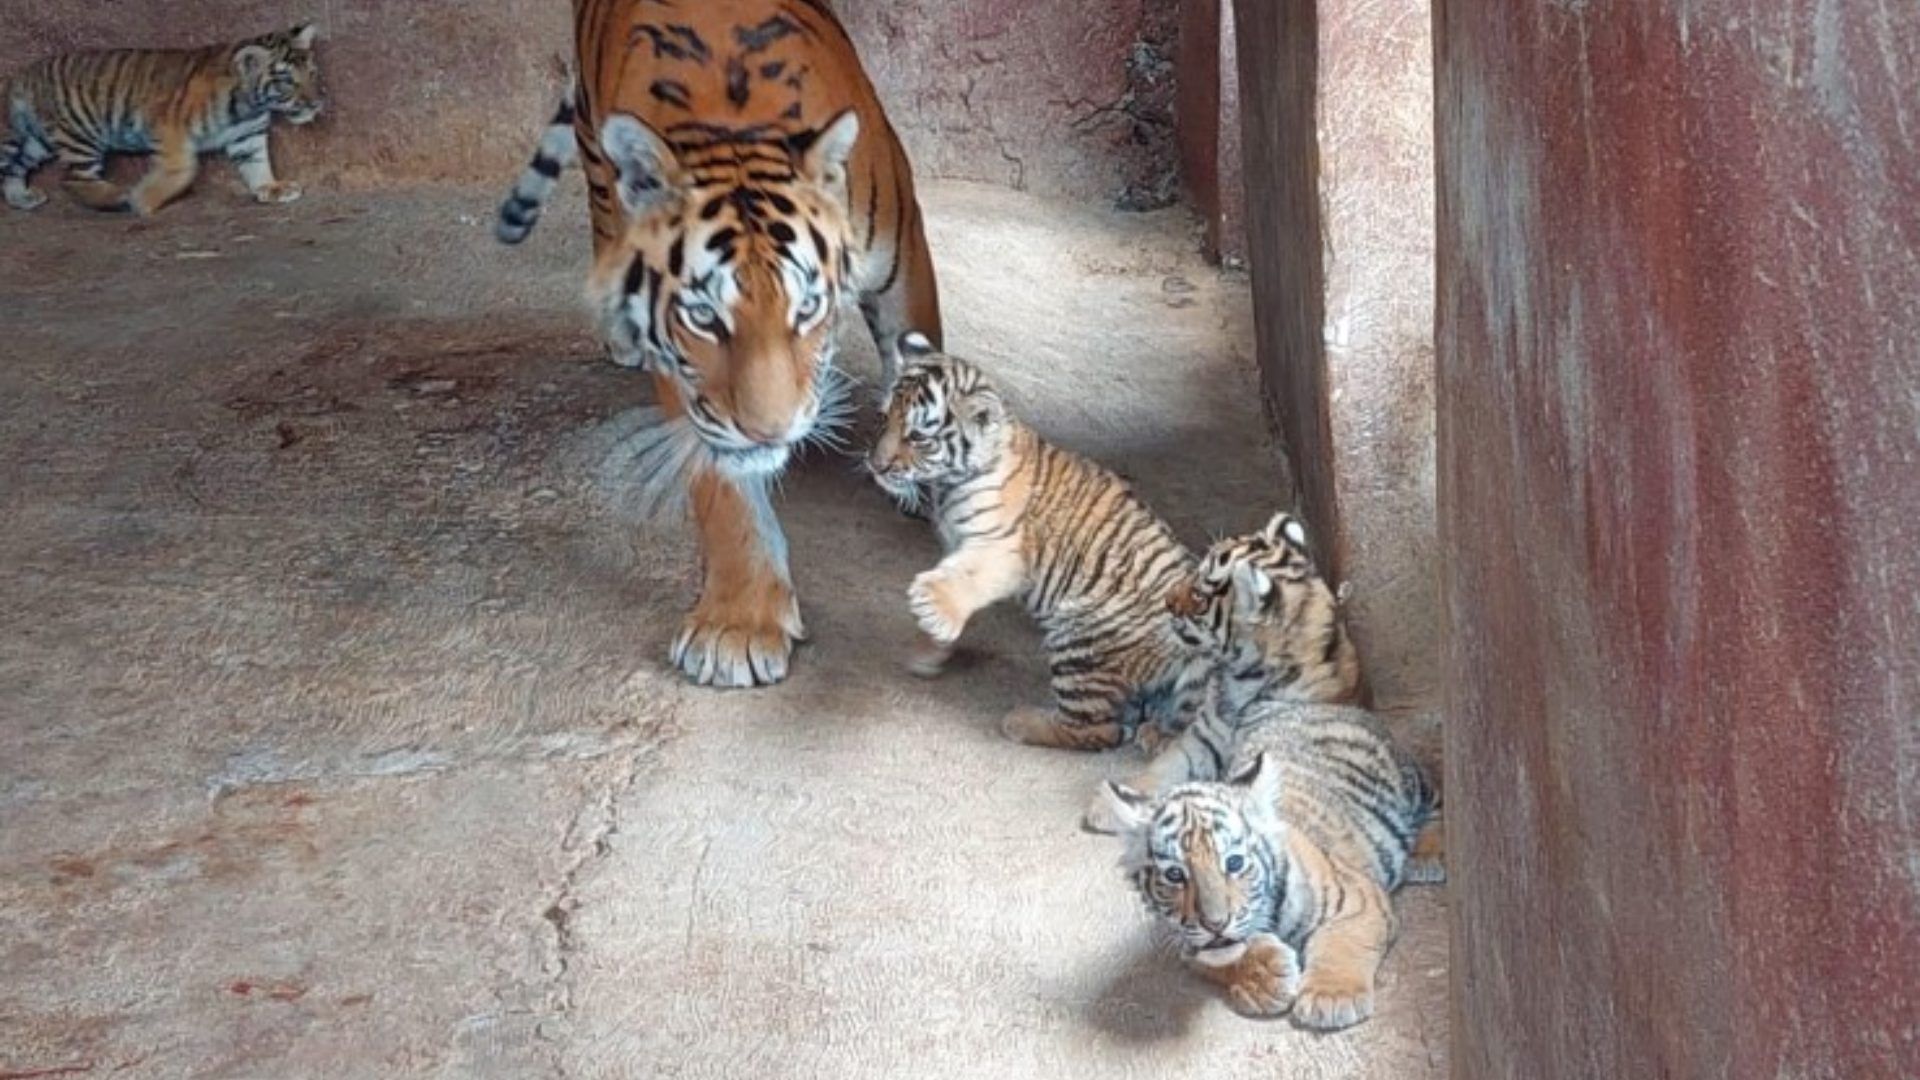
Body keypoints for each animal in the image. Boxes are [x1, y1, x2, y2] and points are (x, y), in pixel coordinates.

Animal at [499, 0, 940, 684]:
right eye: (705, 316)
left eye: (807, 307)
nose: (770, 432)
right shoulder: (688, 375)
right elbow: (722, 489)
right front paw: (740, 624)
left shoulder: (904, 259)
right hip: (597, 148)